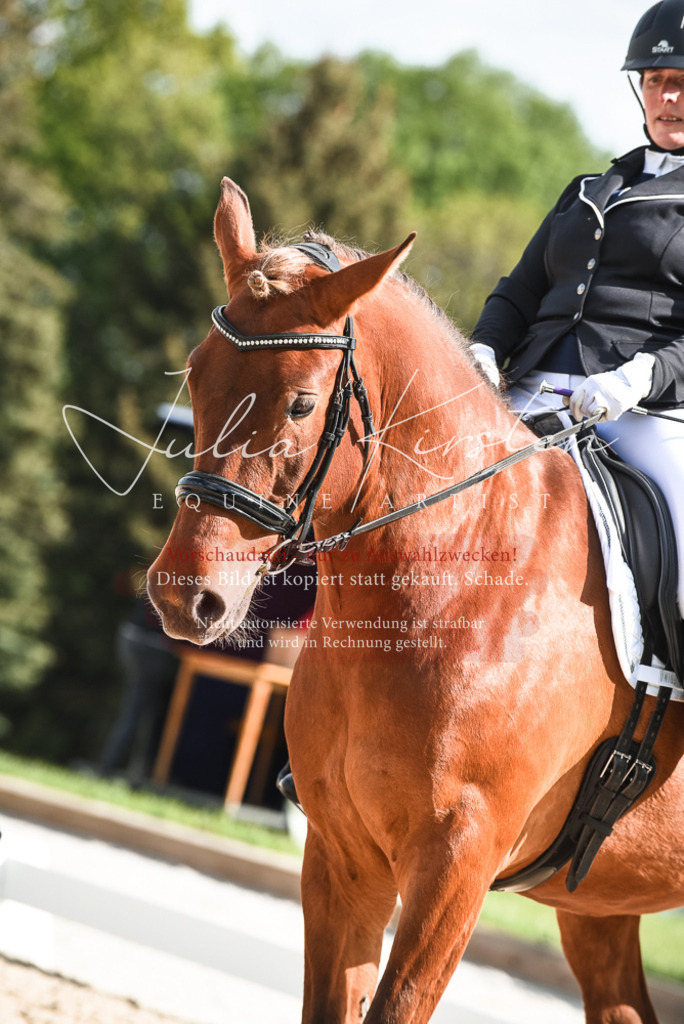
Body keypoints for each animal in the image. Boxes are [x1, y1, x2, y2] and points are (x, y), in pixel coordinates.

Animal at [147, 177, 684, 1024]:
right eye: (197, 374)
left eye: (302, 405)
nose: (184, 595)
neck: (458, 577)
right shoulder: (342, 855)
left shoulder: (456, 868)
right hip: (597, 906)